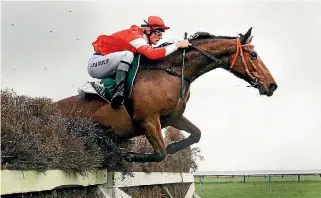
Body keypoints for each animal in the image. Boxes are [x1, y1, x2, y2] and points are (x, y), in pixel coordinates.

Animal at [55, 28, 276, 164]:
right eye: (254, 55)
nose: (272, 85)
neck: (173, 72)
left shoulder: (172, 117)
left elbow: (196, 134)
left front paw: (175, 146)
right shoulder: (149, 120)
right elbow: (160, 154)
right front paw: (128, 155)